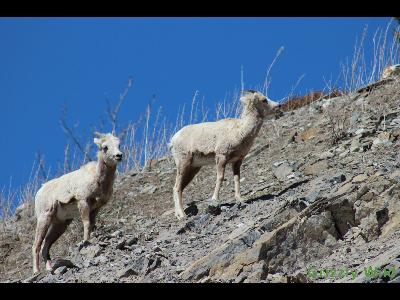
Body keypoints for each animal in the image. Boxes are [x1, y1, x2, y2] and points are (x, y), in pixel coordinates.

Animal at [32, 132, 122, 274]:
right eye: (105, 147)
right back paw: (36, 271)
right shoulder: (83, 202)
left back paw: (50, 268)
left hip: (60, 225)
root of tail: (40, 191)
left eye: (119, 144)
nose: (119, 155)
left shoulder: (95, 208)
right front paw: (85, 241)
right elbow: (86, 223)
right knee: (37, 245)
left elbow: (92, 224)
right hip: (44, 218)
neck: (98, 179)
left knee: (45, 245)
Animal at [170, 90, 282, 219]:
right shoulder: (221, 157)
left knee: (180, 188)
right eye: (264, 100)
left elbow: (237, 179)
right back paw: (182, 216)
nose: (279, 106)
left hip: (193, 169)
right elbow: (220, 178)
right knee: (176, 188)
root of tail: (173, 140)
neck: (240, 131)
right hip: (183, 164)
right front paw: (215, 200)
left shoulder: (237, 161)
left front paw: (240, 200)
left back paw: (179, 215)